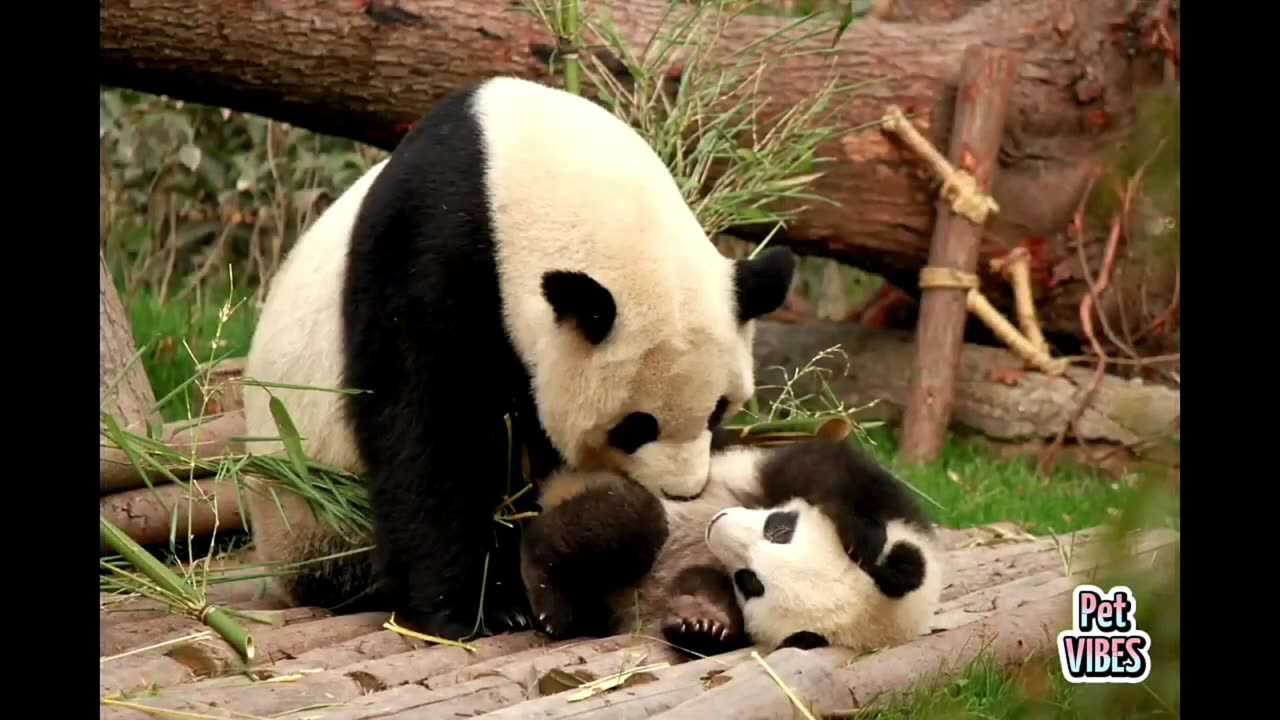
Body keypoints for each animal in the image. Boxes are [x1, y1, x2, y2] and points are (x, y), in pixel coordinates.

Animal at [238, 75, 798, 642]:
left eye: (718, 410)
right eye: (635, 426)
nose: (682, 492)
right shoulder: (427, 252)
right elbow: (428, 433)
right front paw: (476, 610)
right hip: (310, 507)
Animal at [519, 432, 943, 658]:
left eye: (749, 581)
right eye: (780, 529)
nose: (716, 525)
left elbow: (702, 587)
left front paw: (703, 623)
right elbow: (823, 466)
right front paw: (858, 532)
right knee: (630, 519)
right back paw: (546, 593)